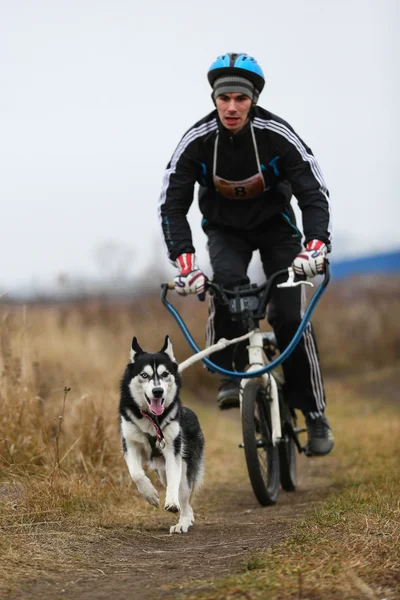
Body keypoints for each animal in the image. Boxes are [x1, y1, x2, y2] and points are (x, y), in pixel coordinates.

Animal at [119, 336, 205, 536]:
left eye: (165, 374)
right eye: (144, 375)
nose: (158, 391)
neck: (153, 420)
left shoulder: (172, 451)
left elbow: (174, 483)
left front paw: (171, 502)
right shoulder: (130, 444)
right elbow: (137, 474)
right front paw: (150, 494)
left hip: (184, 468)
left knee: (183, 494)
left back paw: (183, 521)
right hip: (162, 471)